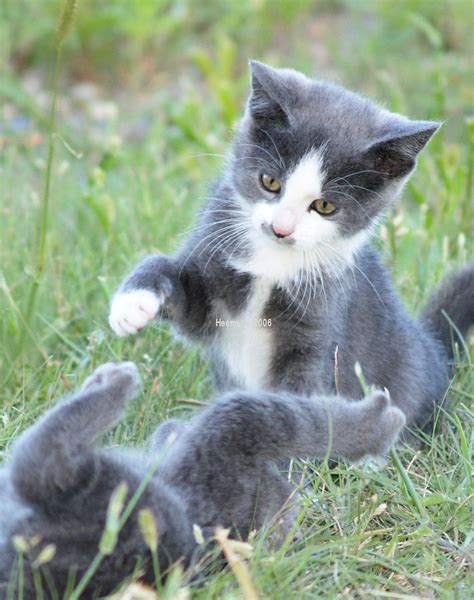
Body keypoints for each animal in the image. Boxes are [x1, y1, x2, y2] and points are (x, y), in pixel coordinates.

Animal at [0, 358, 408, 596]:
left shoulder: (234, 428)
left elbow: (310, 420)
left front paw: (376, 423)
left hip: (120, 502)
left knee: (40, 460)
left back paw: (115, 386)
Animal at [108, 61, 474, 434]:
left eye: (325, 206)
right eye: (270, 182)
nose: (280, 228)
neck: (273, 263)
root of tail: (434, 349)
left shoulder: (321, 323)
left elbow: (301, 388)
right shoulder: (212, 268)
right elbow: (176, 285)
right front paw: (132, 304)